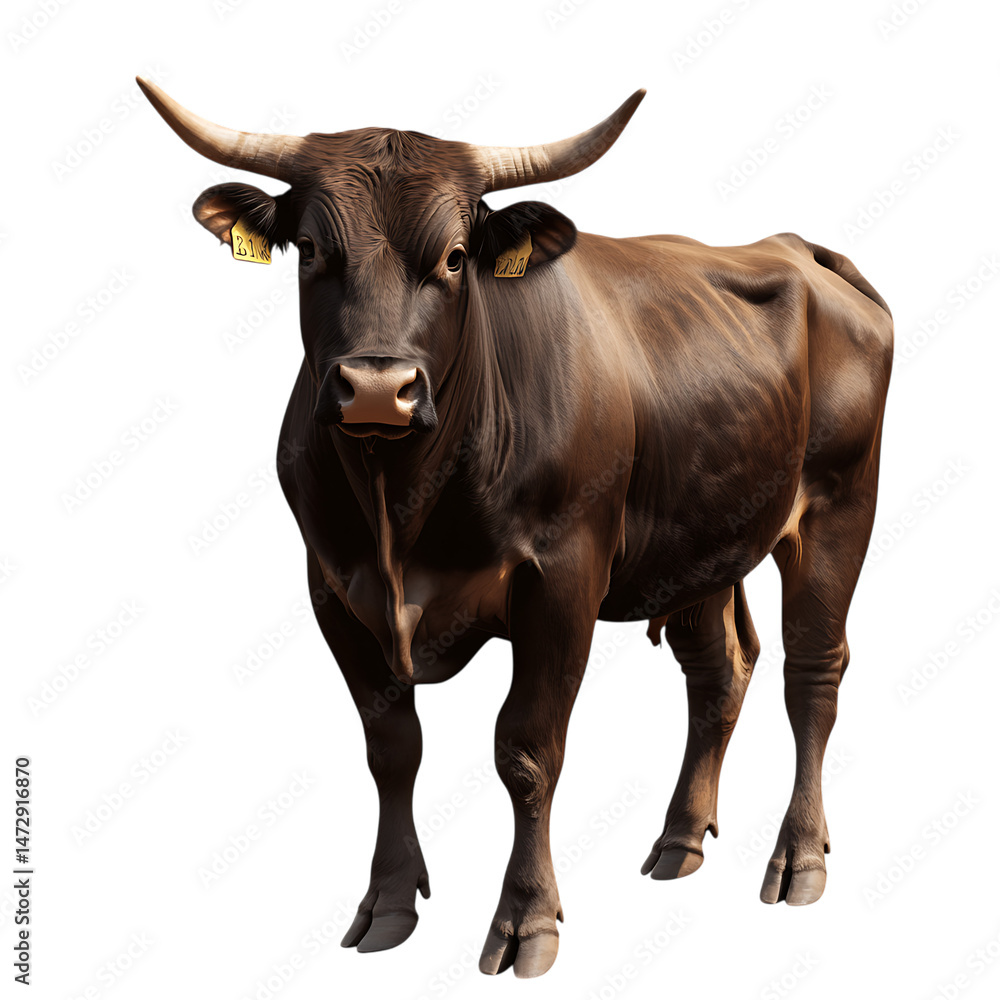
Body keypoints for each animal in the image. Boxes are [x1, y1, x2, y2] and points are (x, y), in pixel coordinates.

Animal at [139, 78, 892, 979]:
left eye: (456, 257)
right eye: (312, 250)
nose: (376, 389)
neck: (400, 510)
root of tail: (796, 248)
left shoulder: (562, 581)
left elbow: (527, 752)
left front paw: (527, 920)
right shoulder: (333, 589)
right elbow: (391, 747)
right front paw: (388, 904)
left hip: (839, 507)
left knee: (812, 671)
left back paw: (799, 857)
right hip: (703, 539)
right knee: (719, 672)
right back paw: (679, 841)